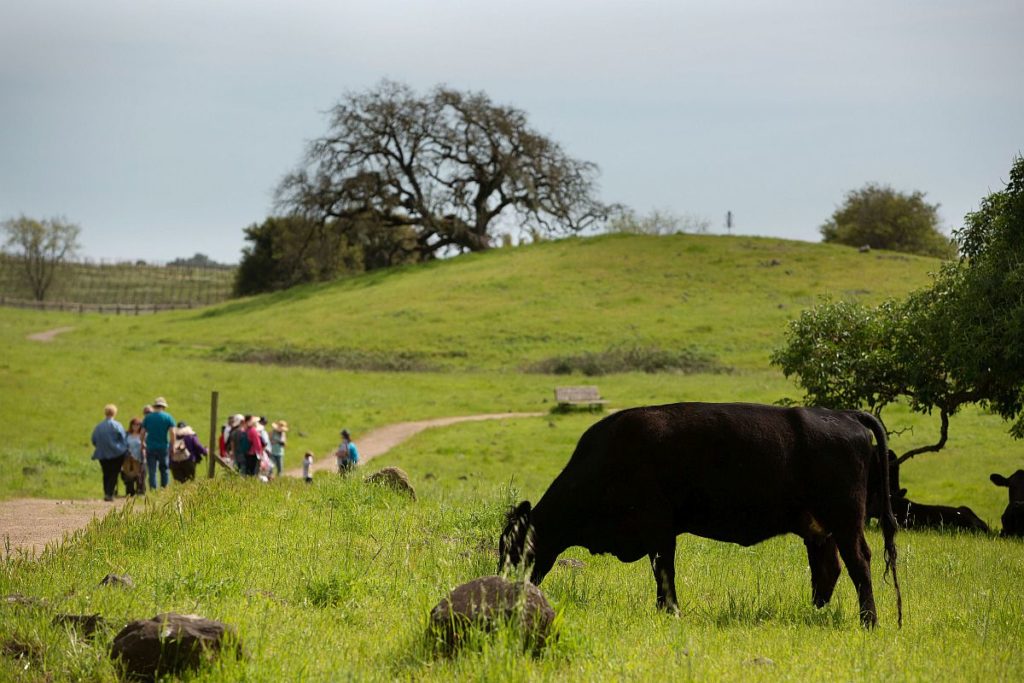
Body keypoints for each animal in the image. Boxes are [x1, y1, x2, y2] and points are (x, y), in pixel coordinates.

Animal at [498, 402, 902, 628]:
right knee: (828, 568)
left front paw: (670, 612)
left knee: (858, 562)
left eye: (513, 546)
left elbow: (665, 574)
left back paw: (869, 621)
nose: (502, 583)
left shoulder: (659, 530)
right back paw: (816, 612)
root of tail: (843, 415)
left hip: (846, 519)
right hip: (818, 526)